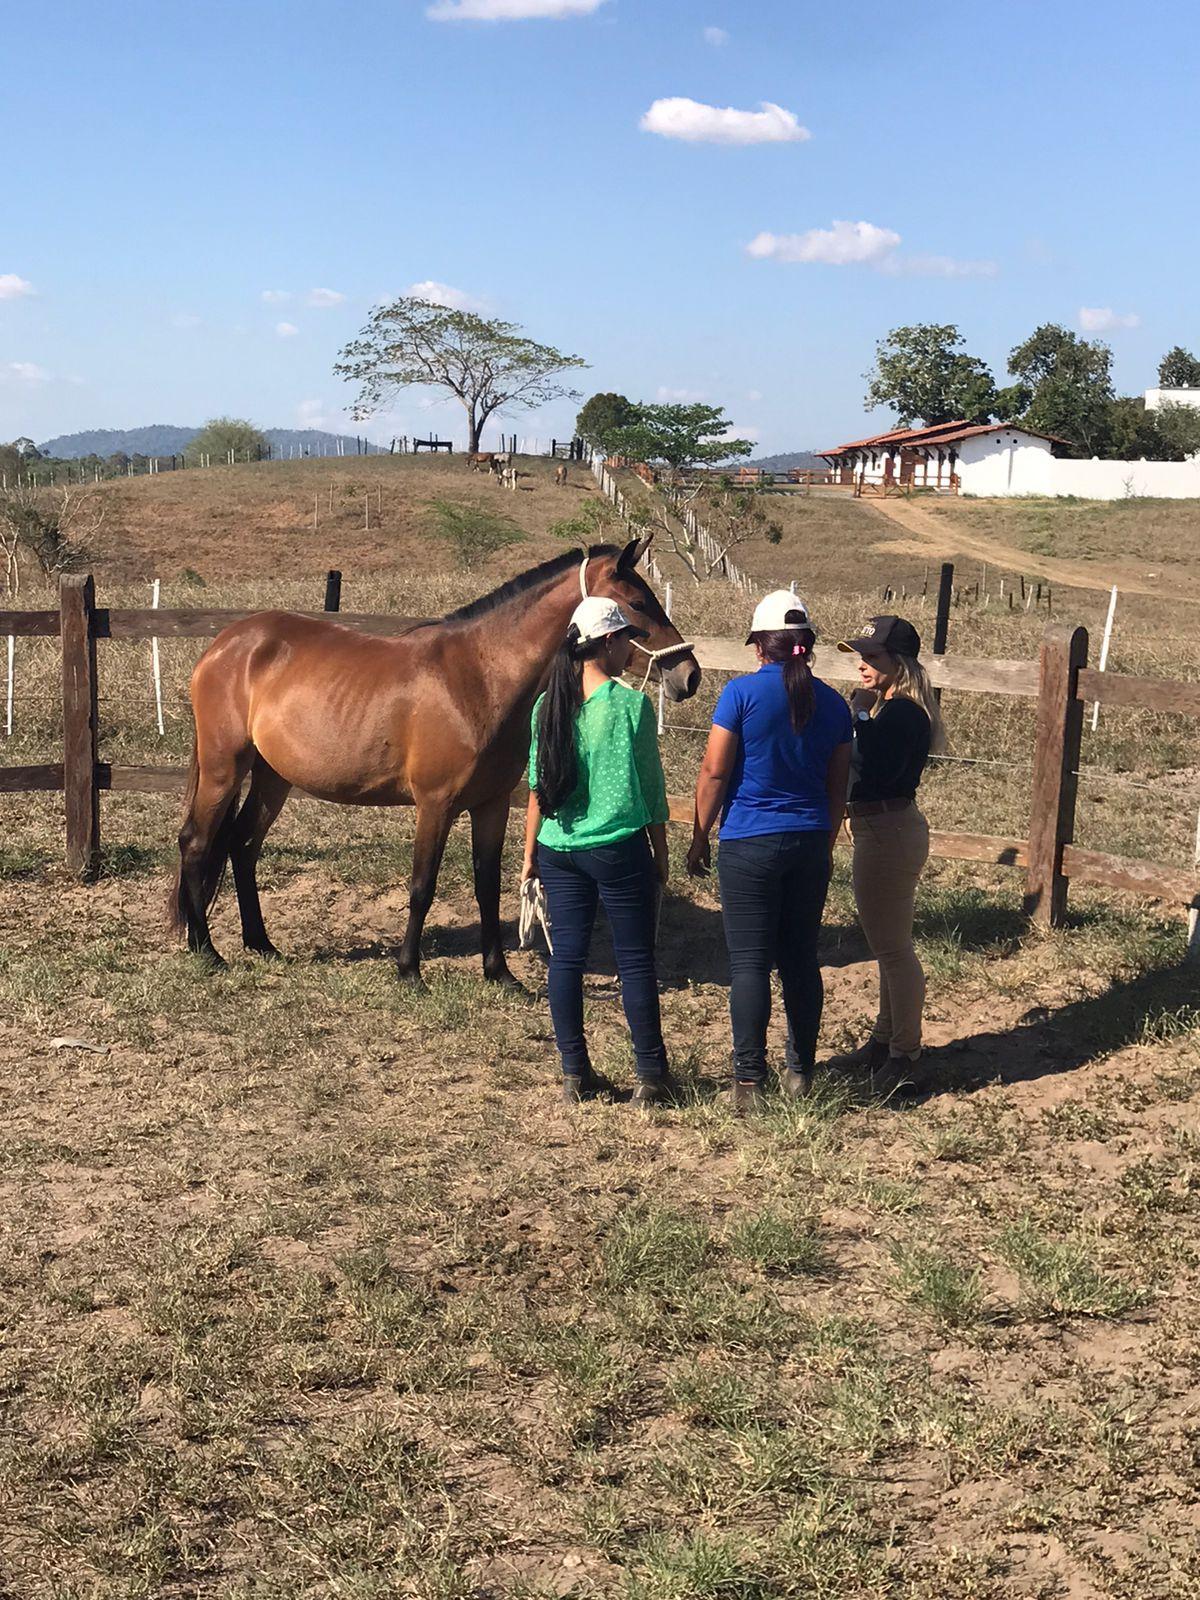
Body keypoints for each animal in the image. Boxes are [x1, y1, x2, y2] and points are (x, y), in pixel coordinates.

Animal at [164, 544, 700, 979]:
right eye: (636, 604)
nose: (689, 675)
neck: (478, 676)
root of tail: (224, 644)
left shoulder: (490, 806)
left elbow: (487, 886)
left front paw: (500, 973)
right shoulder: (435, 805)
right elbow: (423, 886)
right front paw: (409, 970)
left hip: (272, 777)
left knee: (242, 844)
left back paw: (260, 943)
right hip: (224, 767)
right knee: (197, 842)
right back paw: (206, 949)